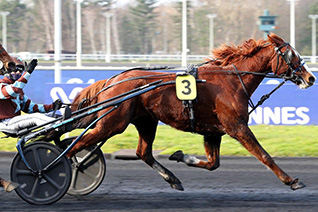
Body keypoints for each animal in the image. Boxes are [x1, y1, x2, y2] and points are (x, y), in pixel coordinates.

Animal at [67, 34, 316, 190]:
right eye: (292, 55)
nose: (310, 77)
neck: (232, 81)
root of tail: (112, 79)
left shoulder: (213, 132)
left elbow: (213, 163)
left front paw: (181, 156)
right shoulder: (237, 127)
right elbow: (264, 155)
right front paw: (291, 180)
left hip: (146, 121)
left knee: (143, 152)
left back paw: (173, 179)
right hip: (112, 123)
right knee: (76, 145)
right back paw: (67, 169)